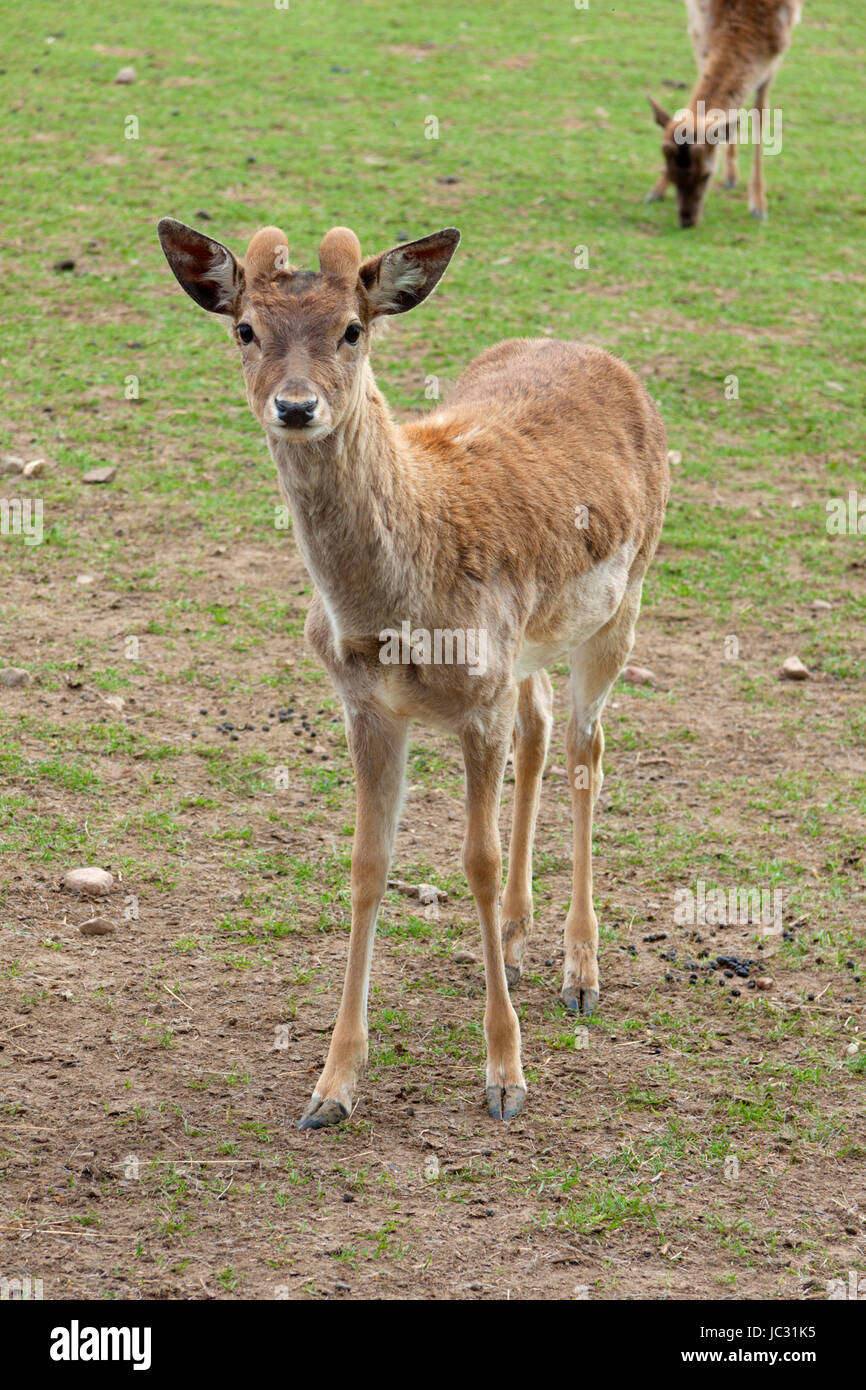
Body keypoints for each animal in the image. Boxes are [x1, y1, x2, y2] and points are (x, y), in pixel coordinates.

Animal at [155, 219, 670, 1128]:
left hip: (623, 600)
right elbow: (368, 863)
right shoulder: (366, 705)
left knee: (587, 751)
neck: (392, 615)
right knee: (541, 732)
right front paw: (332, 1086)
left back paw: (581, 972)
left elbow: (477, 861)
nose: (297, 406)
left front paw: (505, 1076)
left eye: (352, 330)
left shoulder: (477, 700)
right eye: (245, 328)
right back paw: (519, 936)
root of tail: (605, 359)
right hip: (530, 645)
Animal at [647, 0, 800, 222]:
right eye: (668, 168)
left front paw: (759, 205)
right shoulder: (700, 32)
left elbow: (759, 115)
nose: (687, 219)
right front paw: (656, 190)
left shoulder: (775, 54)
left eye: (706, 175)